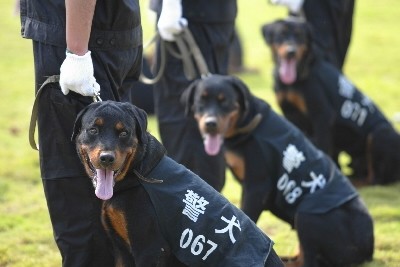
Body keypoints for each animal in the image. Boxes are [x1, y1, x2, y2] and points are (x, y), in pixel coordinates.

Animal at [72, 100, 284, 267]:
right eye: (93, 130)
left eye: (124, 133)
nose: (107, 158)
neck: (139, 172)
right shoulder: (121, 250)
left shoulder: (150, 249)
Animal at [181, 75, 376, 267]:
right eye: (201, 101)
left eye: (225, 102)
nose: (210, 124)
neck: (247, 124)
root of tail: (368, 249)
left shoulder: (257, 186)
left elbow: (246, 218)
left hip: (307, 213)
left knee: (309, 259)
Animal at [260, 17, 400, 185]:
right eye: (281, 34)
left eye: (300, 36)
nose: (291, 52)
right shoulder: (290, 115)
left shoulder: (322, 115)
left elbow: (323, 147)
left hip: (380, 133)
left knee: (376, 179)